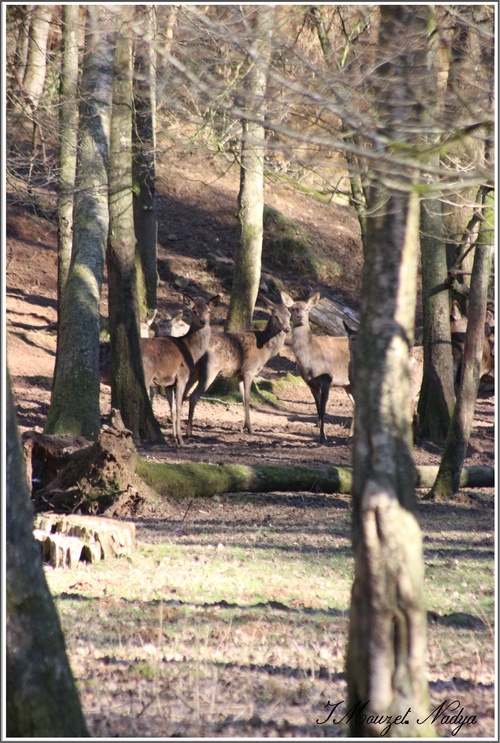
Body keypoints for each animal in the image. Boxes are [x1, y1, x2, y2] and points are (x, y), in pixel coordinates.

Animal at [141, 292, 219, 444]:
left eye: (209, 311)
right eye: (194, 311)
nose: (203, 321)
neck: (190, 350)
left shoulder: (168, 383)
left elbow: (172, 409)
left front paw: (174, 437)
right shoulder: (182, 376)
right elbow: (178, 407)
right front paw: (181, 439)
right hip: (146, 374)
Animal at [186, 294, 292, 438]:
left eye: (289, 314)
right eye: (276, 315)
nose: (287, 328)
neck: (264, 350)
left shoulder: (239, 375)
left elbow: (242, 398)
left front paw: (243, 427)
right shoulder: (249, 370)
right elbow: (247, 398)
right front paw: (250, 428)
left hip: (194, 371)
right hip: (209, 370)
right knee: (193, 396)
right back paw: (189, 432)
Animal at [284, 290, 354, 442]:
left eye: (307, 309)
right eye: (292, 308)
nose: (300, 317)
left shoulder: (327, 379)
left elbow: (323, 409)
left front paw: (324, 438)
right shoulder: (311, 384)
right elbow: (317, 408)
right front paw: (321, 436)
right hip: (349, 385)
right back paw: (350, 437)